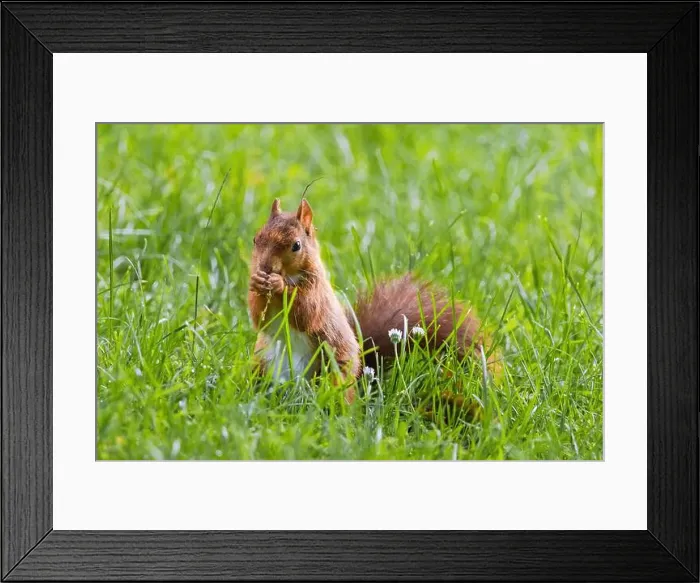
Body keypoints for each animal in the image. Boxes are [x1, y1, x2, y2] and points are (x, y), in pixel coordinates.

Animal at [248, 198, 500, 405]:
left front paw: (278, 285)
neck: (290, 275)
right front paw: (258, 283)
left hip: (333, 368)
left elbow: (306, 313)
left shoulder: (316, 293)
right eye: (255, 238)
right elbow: (260, 319)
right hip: (262, 364)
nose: (266, 267)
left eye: (296, 245)